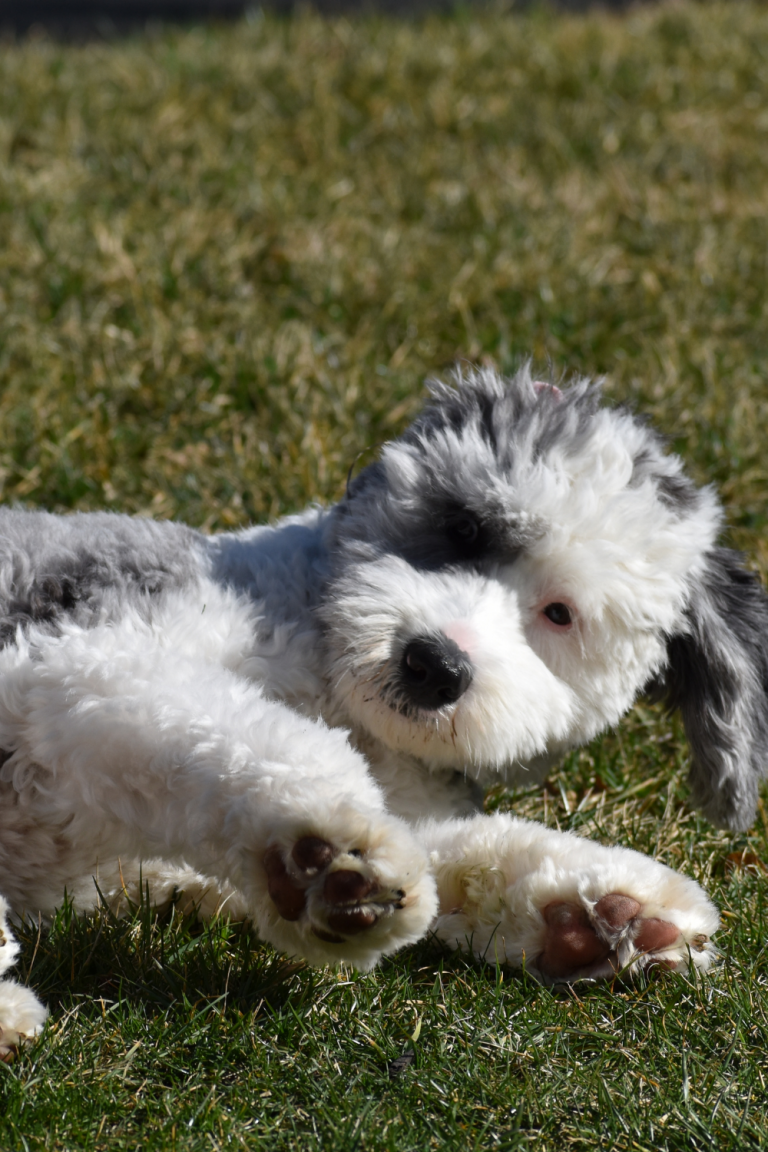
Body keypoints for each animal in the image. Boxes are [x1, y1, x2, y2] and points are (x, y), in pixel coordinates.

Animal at [1, 368, 768, 1059]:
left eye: (559, 613)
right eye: (464, 528)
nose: (433, 665)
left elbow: (453, 850)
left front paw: (605, 916)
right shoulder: (74, 663)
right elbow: (253, 736)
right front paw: (331, 848)